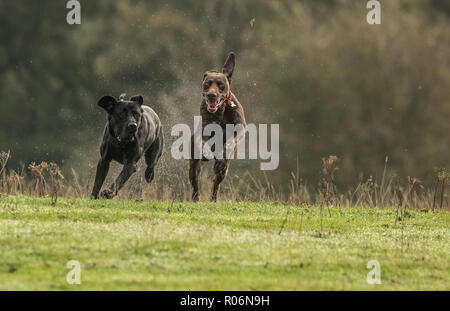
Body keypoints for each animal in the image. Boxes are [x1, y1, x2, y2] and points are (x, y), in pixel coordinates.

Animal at [189, 52, 248, 204]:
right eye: (207, 84)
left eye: (221, 85)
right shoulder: (204, 130)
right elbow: (203, 142)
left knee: (216, 183)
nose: (211, 95)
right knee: (195, 181)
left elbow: (230, 142)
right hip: (193, 165)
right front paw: (206, 151)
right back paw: (196, 198)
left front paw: (222, 156)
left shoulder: (240, 129)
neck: (220, 111)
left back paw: (213, 199)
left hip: (223, 172)